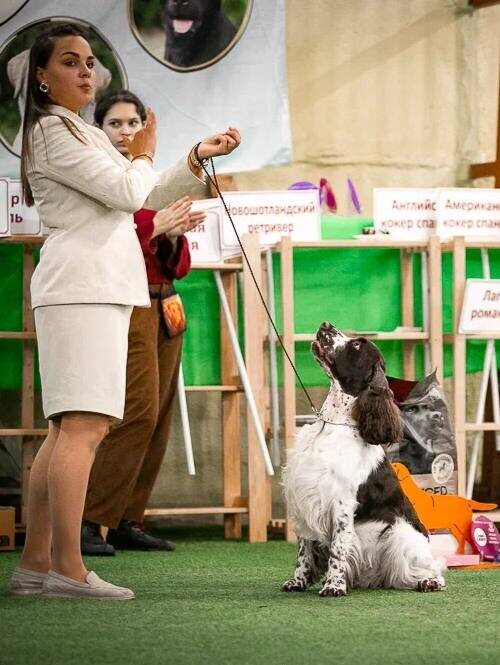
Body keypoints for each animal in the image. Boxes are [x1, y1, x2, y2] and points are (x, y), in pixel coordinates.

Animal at [282, 322, 446, 596]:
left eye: (357, 345)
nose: (326, 324)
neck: (332, 424)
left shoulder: (341, 503)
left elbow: (338, 548)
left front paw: (334, 586)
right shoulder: (306, 498)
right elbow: (304, 551)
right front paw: (298, 582)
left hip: (400, 534)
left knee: (432, 568)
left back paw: (429, 582)